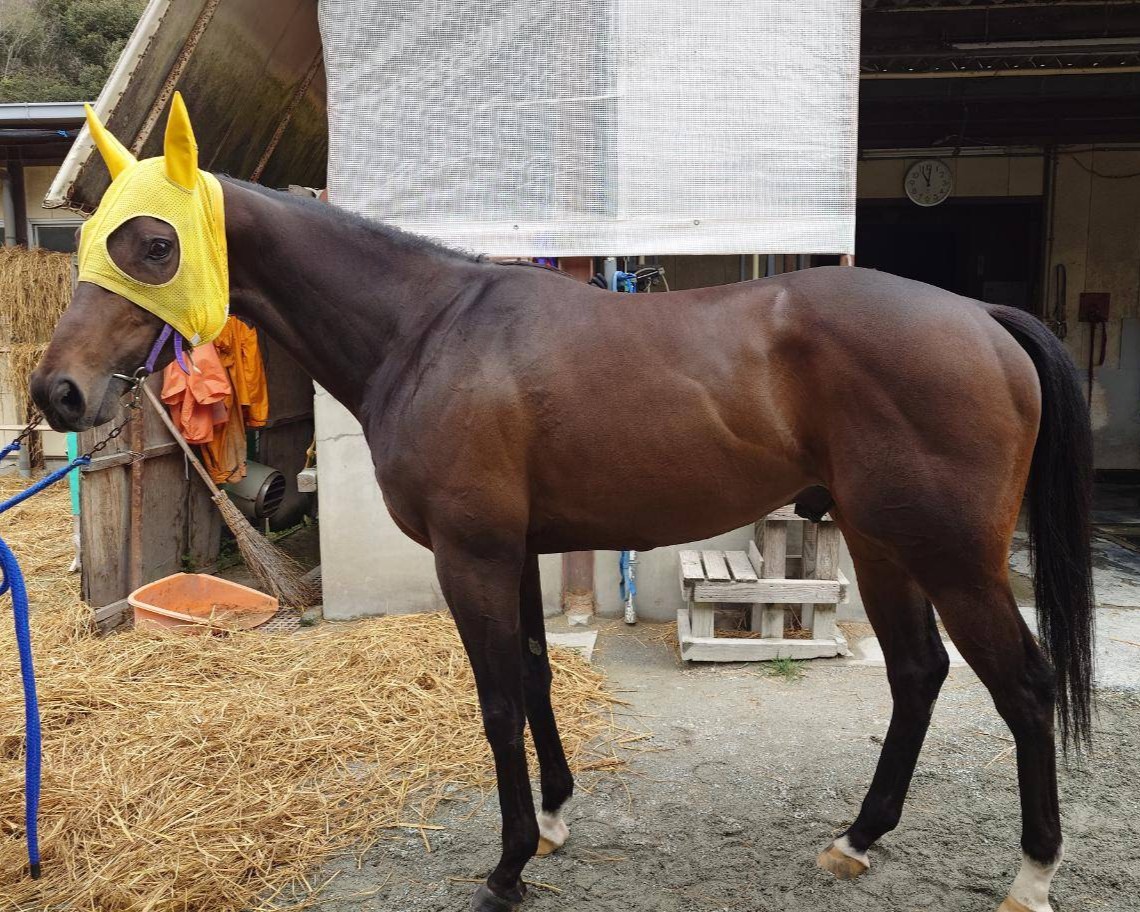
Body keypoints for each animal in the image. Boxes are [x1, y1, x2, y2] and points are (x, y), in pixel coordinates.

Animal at [32, 119, 1092, 912]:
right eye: (82, 242)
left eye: (156, 244)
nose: (58, 393)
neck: (427, 330)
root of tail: (980, 319)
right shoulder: (517, 554)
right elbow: (538, 678)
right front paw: (550, 822)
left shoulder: (472, 555)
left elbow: (499, 699)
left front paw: (504, 869)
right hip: (881, 544)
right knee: (918, 674)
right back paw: (856, 838)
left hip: (952, 557)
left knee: (1024, 685)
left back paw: (1032, 874)